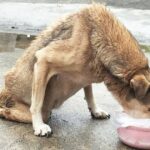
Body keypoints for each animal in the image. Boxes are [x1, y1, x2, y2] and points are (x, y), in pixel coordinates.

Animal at [0, 3, 150, 137]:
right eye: (149, 109)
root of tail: (5, 90)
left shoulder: (86, 77)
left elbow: (89, 94)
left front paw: (95, 110)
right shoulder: (43, 60)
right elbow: (36, 104)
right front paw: (39, 126)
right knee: (34, 112)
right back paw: (5, 112)